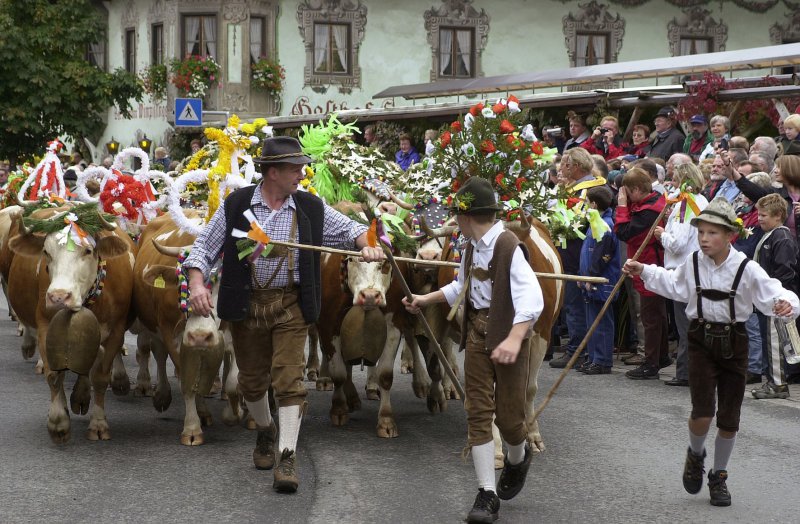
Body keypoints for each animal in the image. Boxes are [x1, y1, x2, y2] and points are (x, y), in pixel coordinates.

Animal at [0, 205, 135, 442]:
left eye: (88, 251)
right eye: (46, 252)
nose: (59, 297)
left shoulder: (116, 331)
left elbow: (100, 376)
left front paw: (98, 423)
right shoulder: (46, 326)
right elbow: (55, 375)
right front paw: (58, 421)